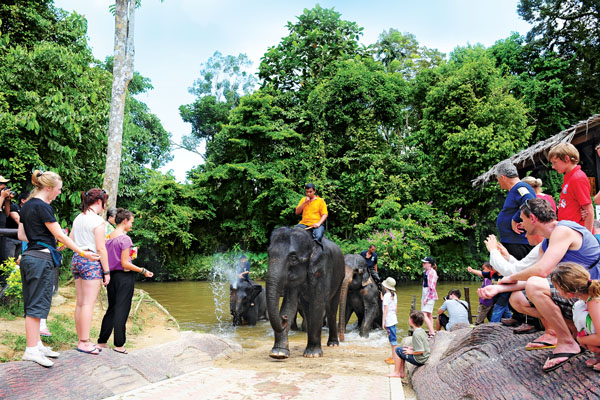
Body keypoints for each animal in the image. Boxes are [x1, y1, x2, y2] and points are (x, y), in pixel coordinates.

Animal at [266, 225, 344, 360]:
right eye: (268, 254)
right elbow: (289, 304)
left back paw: (333, 344)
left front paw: (312, 354)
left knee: (331, 309)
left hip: (340, 277)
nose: (284, 319)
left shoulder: (322, 270)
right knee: (307, 308)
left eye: (293, 258)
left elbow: (317, 304)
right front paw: (278, 354)